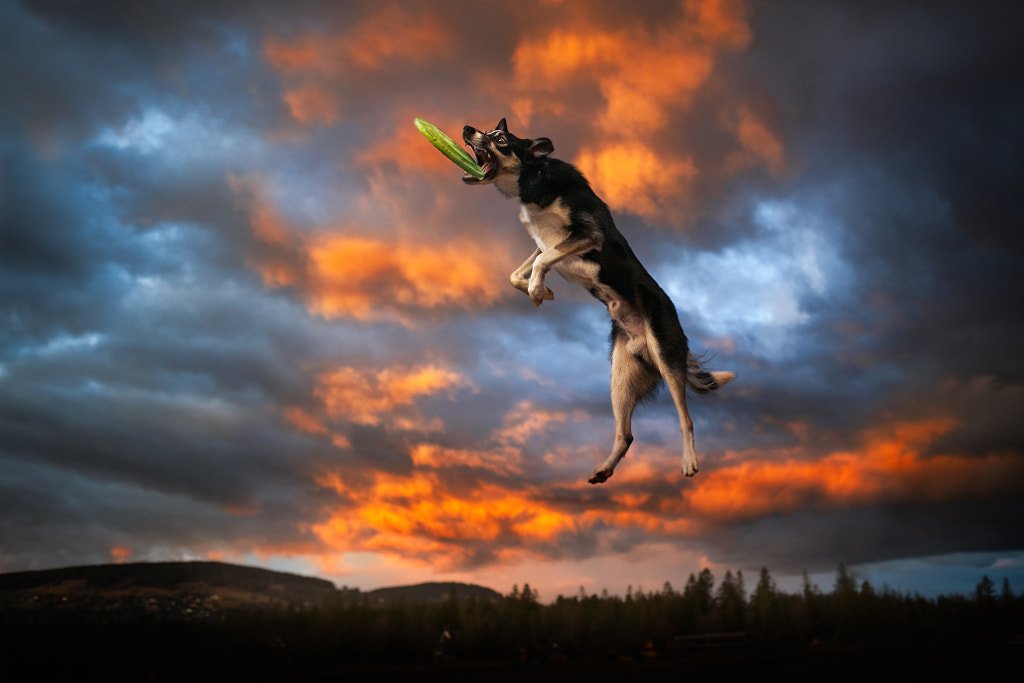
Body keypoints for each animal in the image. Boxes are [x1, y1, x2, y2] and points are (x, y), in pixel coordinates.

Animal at [464, 117, 737, 483]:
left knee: (686, 419)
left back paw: (689, 462)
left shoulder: (587, 236)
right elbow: (519, 271)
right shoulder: (546, 242)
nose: (466, 130)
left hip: (665, 354)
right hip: (620, 378)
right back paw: (603, 471)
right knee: (626, 434)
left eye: (500, 140)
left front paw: (538, 290)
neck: (535, 179)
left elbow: (540, 261)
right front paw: (543, 290)